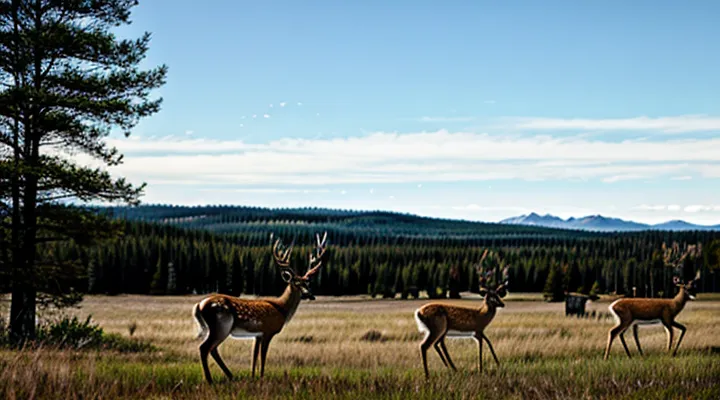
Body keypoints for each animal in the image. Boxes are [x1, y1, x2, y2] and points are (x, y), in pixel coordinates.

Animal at [192, 232, 328, 383]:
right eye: (296, 283)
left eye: (307, 283)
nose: (310, 295)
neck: (281, 309)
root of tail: (199, 305)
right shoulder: (268, 331)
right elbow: (263, 357)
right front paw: (262, 377)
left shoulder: (257, 335)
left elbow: (254, 357)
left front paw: (253, 377)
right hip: (222, 325)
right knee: (205, 348)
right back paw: (210, 380)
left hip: (217, 328)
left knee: (212, 349)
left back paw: (230, 376)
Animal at [414, 249, 509, 378]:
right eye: (490, 297)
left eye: (498, 295)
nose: (502, 304)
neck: (482, 316)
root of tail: (419, 312)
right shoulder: (478, 330)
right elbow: (482, 346)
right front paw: (481, 369)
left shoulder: (479, 331)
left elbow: (489, 343)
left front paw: (498, 364)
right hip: (438, 327)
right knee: (425, 346)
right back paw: (429, 376)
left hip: (440, 330)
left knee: (436, 344)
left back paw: (450, 368)